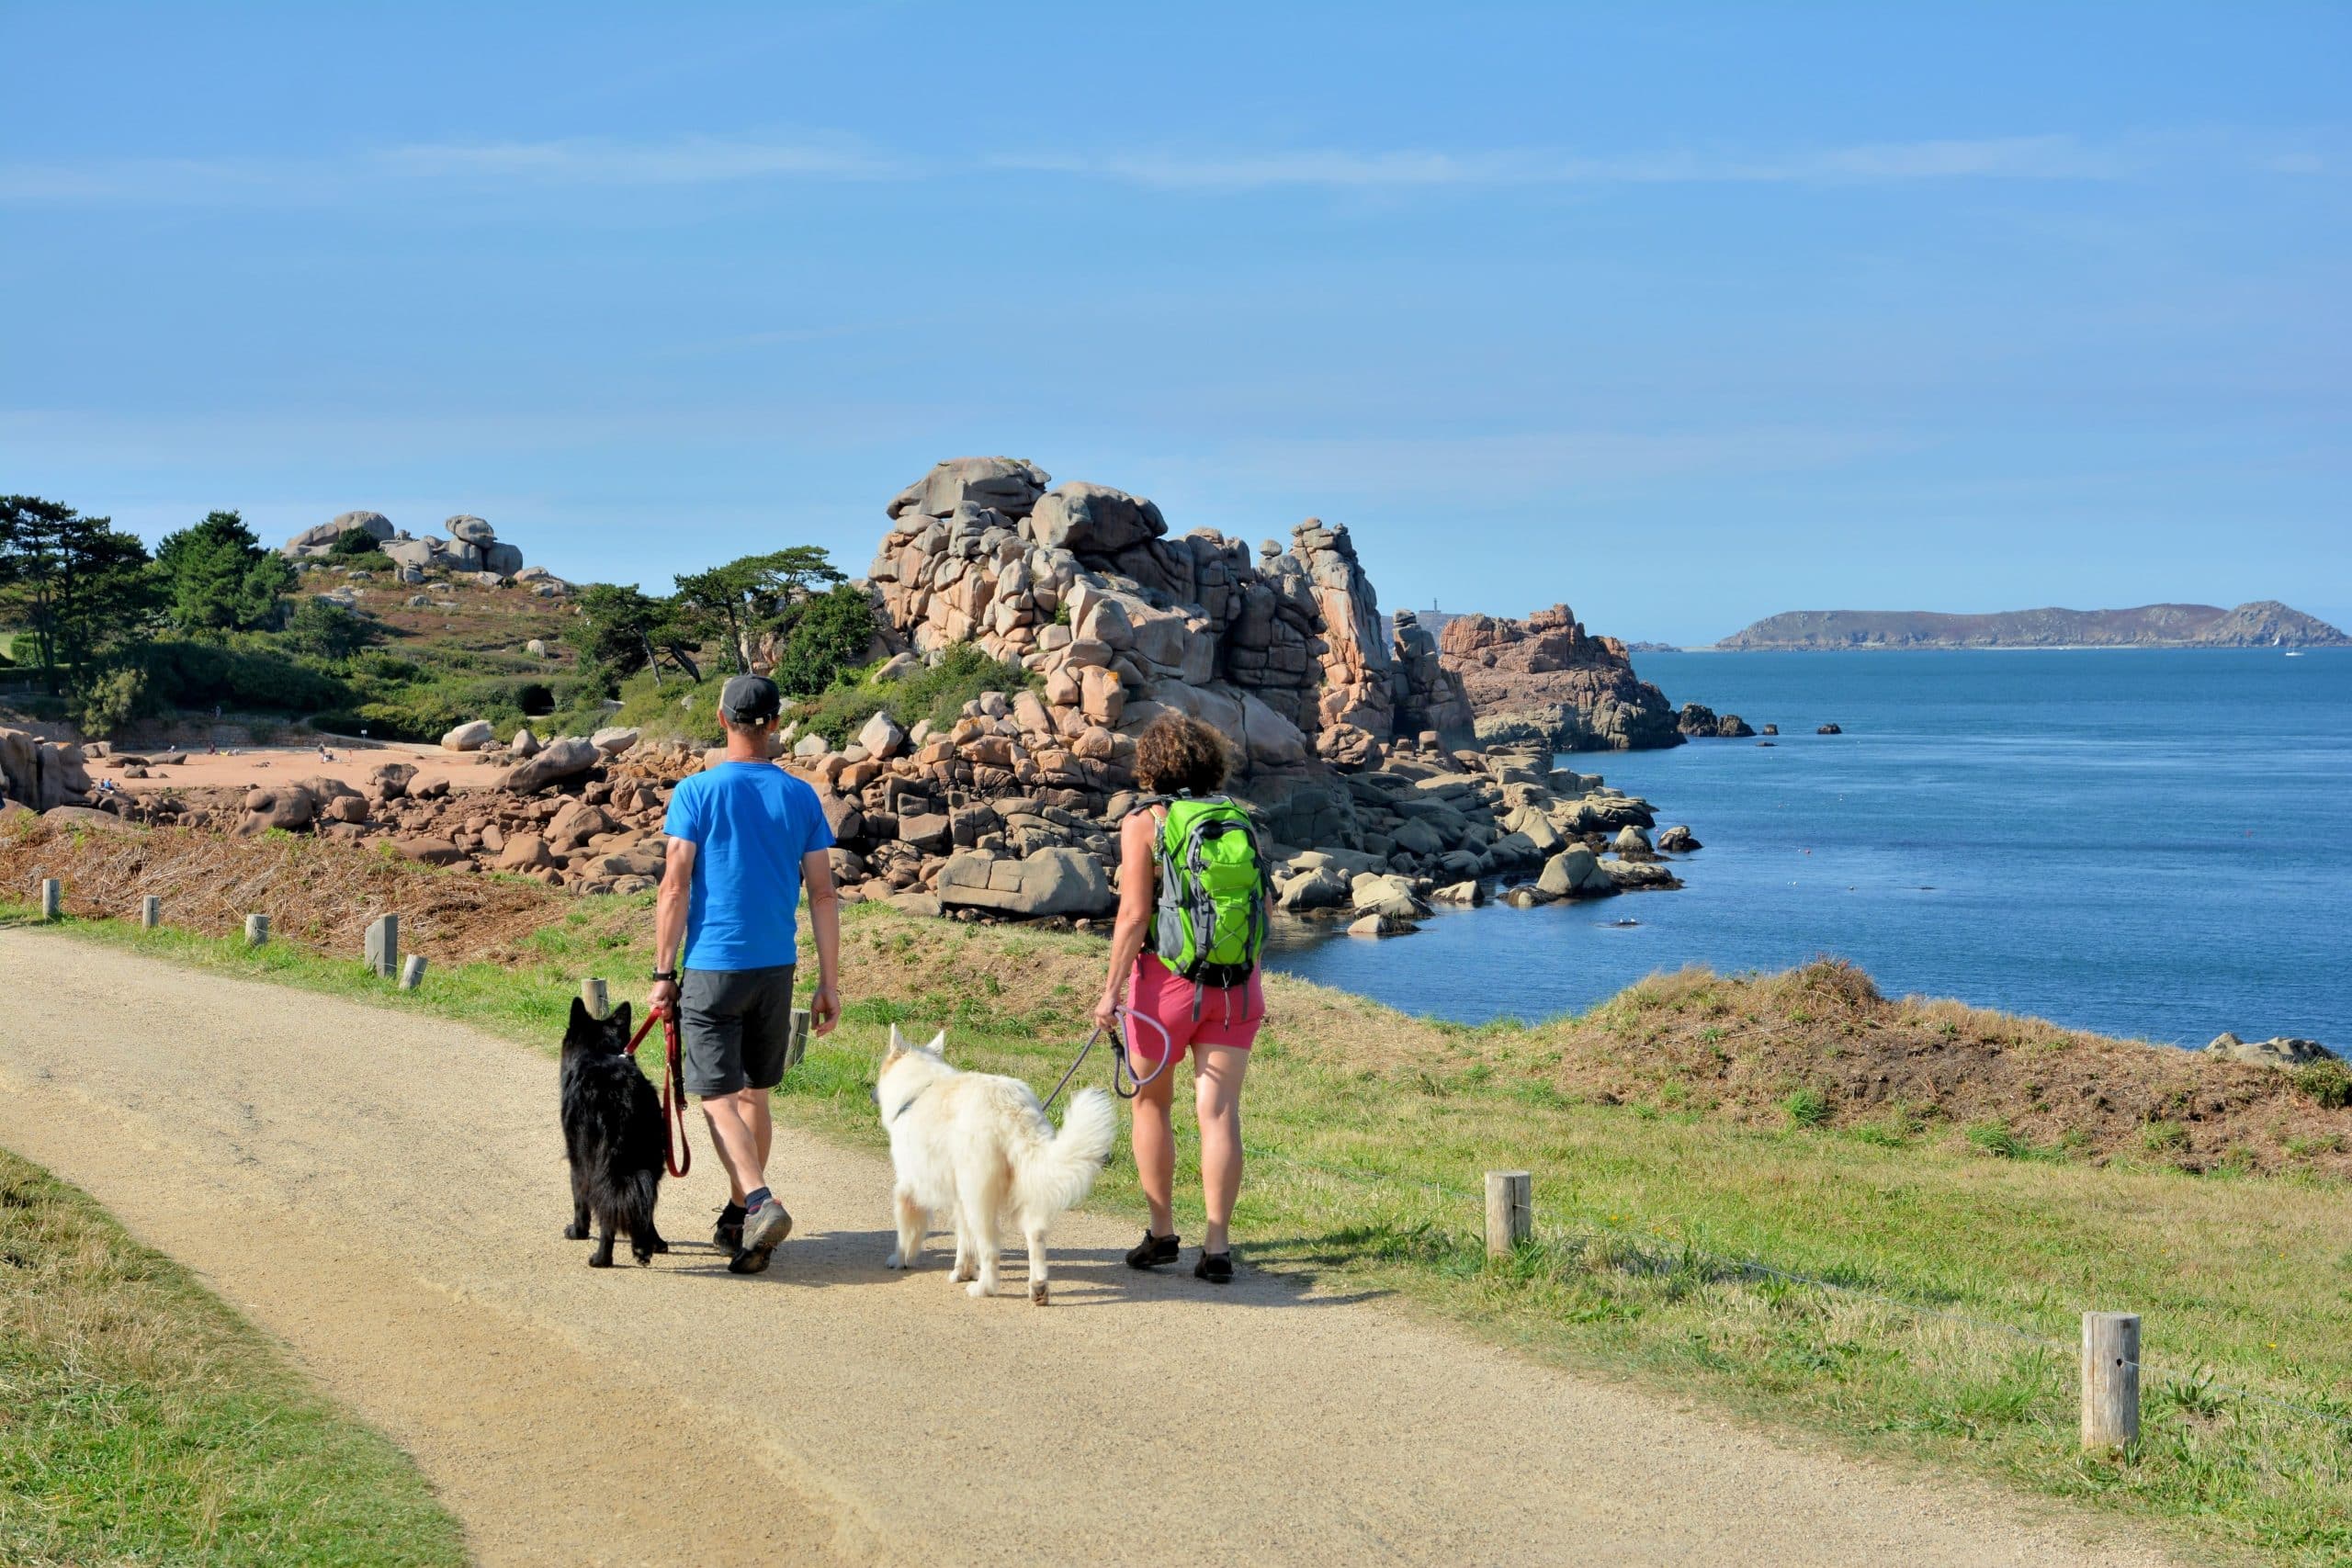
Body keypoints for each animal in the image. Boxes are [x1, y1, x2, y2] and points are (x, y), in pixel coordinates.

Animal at [564, 1001, 677, 1269]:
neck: (601, 1052)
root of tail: (621, 1095)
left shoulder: (576, 1161)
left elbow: (580, 1199)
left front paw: (577, 1232)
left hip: (598, 1163)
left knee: (607, 1208)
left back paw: (601, 1258)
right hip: (649, 1158)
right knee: (643, 1201)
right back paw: (646, 1246)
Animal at [879, 1024, 1114, 1306]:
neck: (920, 1089)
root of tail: (1010, 1109)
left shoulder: (910, 1187)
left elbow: (908, 1232)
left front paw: (900, 1259)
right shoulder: (959, 1197)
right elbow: (964, 1239)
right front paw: (962, 1272)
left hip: (980, 1198)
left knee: (991, 1250)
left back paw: (984, 1288)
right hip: (1025, 1187)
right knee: (1035, 1236)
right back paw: (1038, 1287)